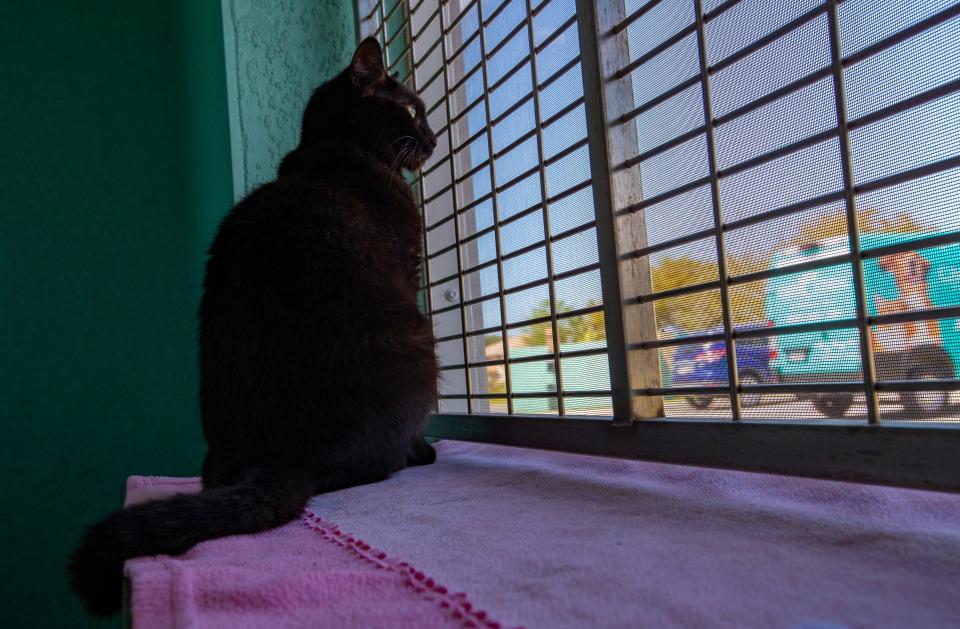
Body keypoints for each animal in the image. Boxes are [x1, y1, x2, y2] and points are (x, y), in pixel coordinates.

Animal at [67, 36, 438, 616]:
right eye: (410, 110)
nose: (434, 136)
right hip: (419, 344)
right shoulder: (409, 268)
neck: (336, 147)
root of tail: (279, 457)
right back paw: (415, 453)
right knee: (377, 461)